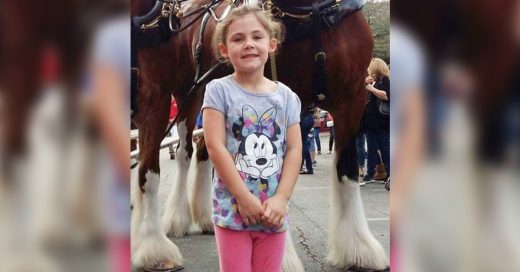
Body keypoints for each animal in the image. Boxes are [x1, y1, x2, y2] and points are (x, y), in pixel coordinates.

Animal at [132, 0, 388, 270]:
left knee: (204, 150)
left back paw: (206, 217)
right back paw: (177, 219)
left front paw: (358, 248)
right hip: (187, 95)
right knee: (184, 152)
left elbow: (347, 171)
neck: (314, 13)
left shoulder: (352, 100)